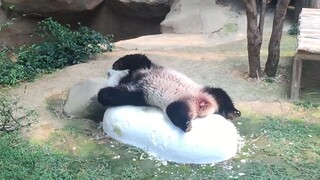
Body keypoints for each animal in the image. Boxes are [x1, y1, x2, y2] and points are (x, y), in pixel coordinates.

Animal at [97, 54, 240, 131]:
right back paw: (186, 124)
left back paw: (233, 112)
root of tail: (203, 105)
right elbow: (118, 95)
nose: (108, 72)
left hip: (204, 90)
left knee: (221, 94)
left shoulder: (145, 68)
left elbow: (139, 59)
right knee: (178, 111)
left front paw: (117, 64)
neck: (130, 78)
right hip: (183, 101)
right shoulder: (138, 93)